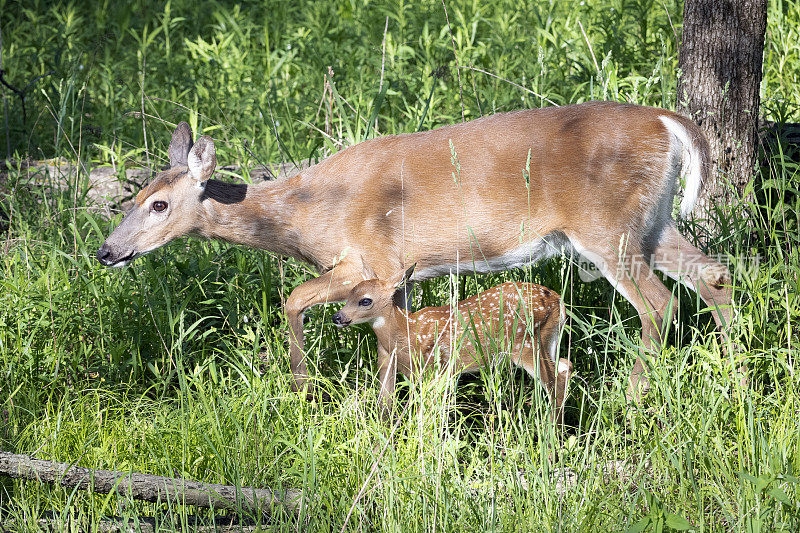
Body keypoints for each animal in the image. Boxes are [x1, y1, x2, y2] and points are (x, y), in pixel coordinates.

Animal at [97, 101, 736, 400]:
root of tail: (667, 121)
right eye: (133, 197)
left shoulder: (370, 260)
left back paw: (636, 395)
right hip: (651, 221)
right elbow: (390, 345)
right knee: (714, 274)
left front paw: (303, 390)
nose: (107, 252)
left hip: (608, 227)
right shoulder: (399, 275)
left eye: (159, 205)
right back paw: (736, 371)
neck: (311, 217)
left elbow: (294, 299)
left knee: (659, 303)